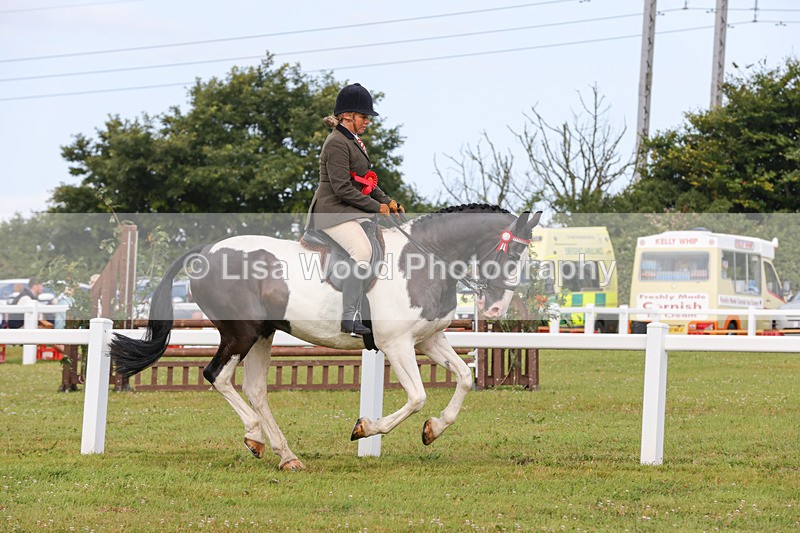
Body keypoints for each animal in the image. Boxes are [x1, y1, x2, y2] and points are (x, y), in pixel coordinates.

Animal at [111, 204, 542, 470]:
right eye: (509, 256)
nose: (494, 311)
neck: (425, 258)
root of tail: (204, 251)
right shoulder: (397, 344)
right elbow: (417, 396)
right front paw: (365, 428)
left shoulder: (428, 341)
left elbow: (465, 378)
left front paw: (433, 429)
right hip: (240, 334)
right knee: (217, 376)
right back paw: (254, 437)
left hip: (264, 335)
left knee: (255, 390)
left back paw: (287, 455)